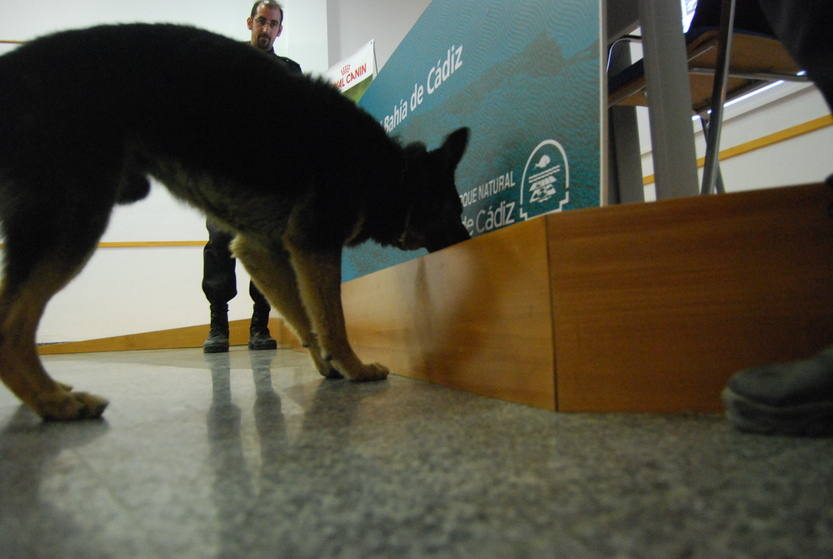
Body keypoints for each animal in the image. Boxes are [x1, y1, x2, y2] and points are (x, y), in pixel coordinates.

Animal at [0, 25, 468, 420]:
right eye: (455, 212)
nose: (470, 240)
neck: (390, 173)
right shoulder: (314, 242)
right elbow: (332, 319)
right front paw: (353, 367)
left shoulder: (262, 250)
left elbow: (303, 315)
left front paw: (327, 365)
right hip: (72, 226)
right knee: (11, 328)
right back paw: (54, 402)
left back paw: (48, 393)